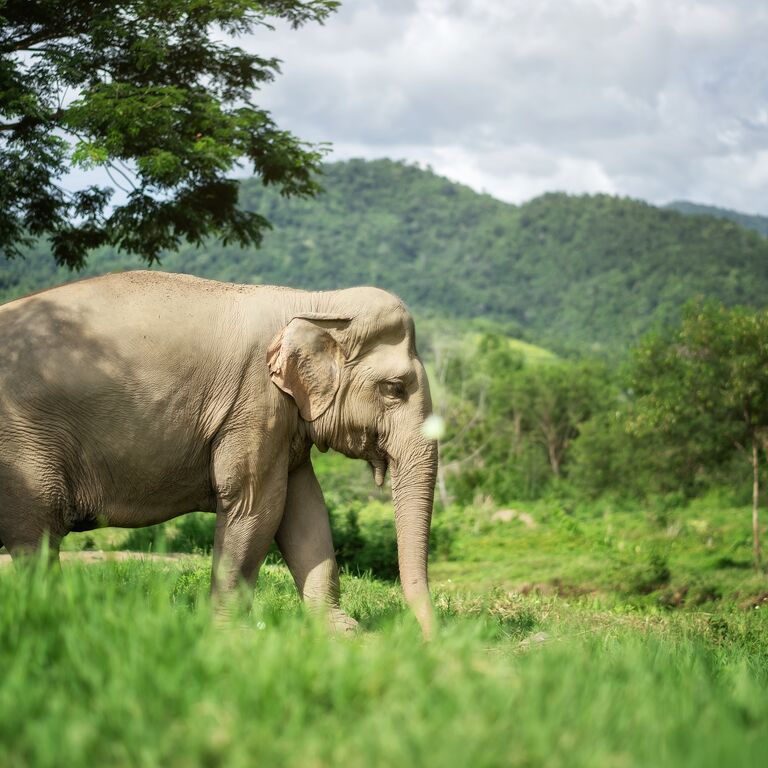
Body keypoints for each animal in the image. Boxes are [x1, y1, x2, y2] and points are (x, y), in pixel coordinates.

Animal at [0, 271, 438, 637]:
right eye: (395, 388)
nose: (427, 640)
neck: (314, 302)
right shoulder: (255, 403)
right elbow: (257, 506)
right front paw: (231, 633)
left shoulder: (282, 419)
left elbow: (305, 508)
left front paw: (341, 631)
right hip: (24, 445)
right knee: (38, 533)